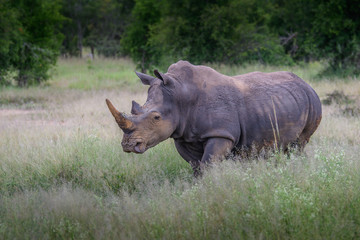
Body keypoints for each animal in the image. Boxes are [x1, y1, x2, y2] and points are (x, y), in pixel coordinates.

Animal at [105, 61, 322, 175]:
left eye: (156, 117)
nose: (128, 145)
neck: (180, 96)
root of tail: (305, 83)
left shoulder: (220, 133)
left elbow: (208, 164)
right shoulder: (183, 134)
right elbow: (196, 166)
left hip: (313, 101)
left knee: (299, 143)